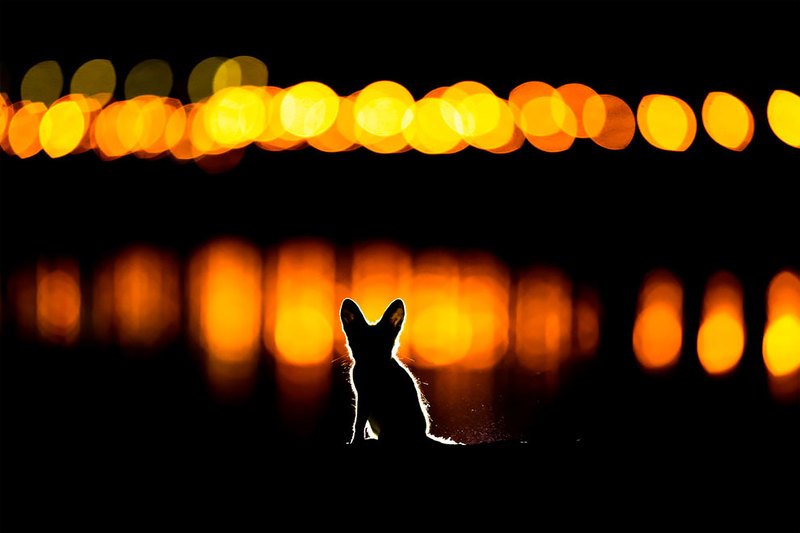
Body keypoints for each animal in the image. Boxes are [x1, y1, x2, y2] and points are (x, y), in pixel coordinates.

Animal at [340, 297, 456, 446]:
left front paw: (356, 441)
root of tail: (422, 435)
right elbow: (358, 423)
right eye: (361, 343)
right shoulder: (362, 395)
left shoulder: (366, 397)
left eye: (384, 344)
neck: (373, 367)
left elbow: (359, 423)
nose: (373, 355)